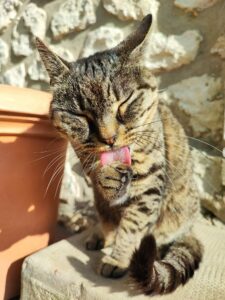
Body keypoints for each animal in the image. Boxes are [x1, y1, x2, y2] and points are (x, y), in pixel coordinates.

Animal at [36, 14, 203, 296]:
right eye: (81, 115)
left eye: (124, 103)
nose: (109, 138)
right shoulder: (95, 181)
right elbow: (107, 204)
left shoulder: (149, 186)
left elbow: (133, 225)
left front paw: (117, 259)